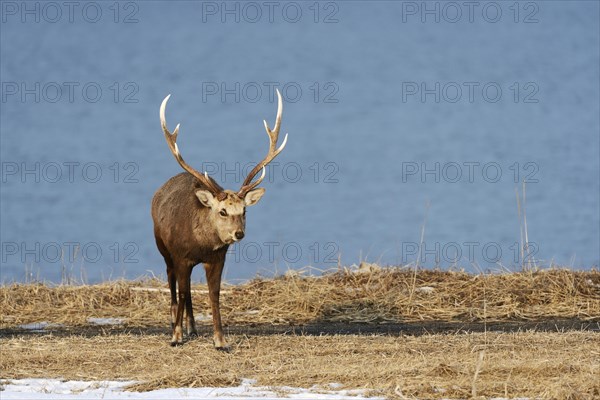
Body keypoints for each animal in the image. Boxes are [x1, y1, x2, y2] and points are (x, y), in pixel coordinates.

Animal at [152, 89, 288, 348]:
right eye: (222, 211)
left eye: (244, 211)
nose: (239, 233)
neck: (201, 244)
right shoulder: (181, 255)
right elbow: (182, 292)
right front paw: (176, 336)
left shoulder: (217, 258)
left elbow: (214, 295)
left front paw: (220, 341)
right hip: (163, 249)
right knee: (174, 285)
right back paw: (176, 325)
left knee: (188, 290)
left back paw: (192, 328)